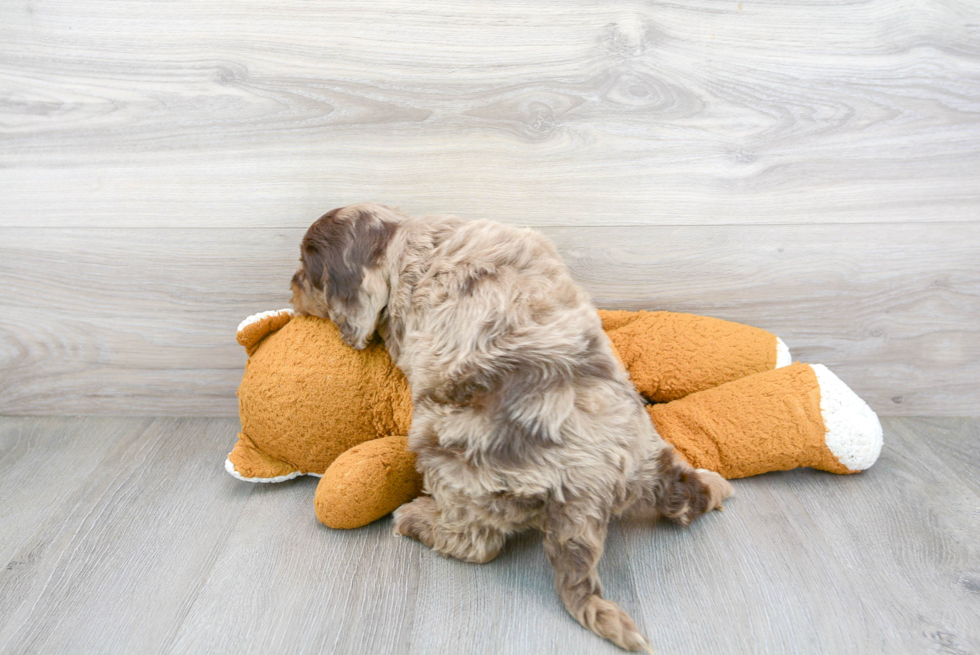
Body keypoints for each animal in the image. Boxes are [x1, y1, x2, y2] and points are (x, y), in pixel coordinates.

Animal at [288, 202, 732, 652]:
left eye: (307, 271)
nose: (290, 289)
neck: (404, 236)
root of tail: (588, 490)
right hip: (649, 456)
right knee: (683, 492)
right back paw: (715, 486)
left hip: (447, 456)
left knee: (476, 543)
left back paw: (416, 519)